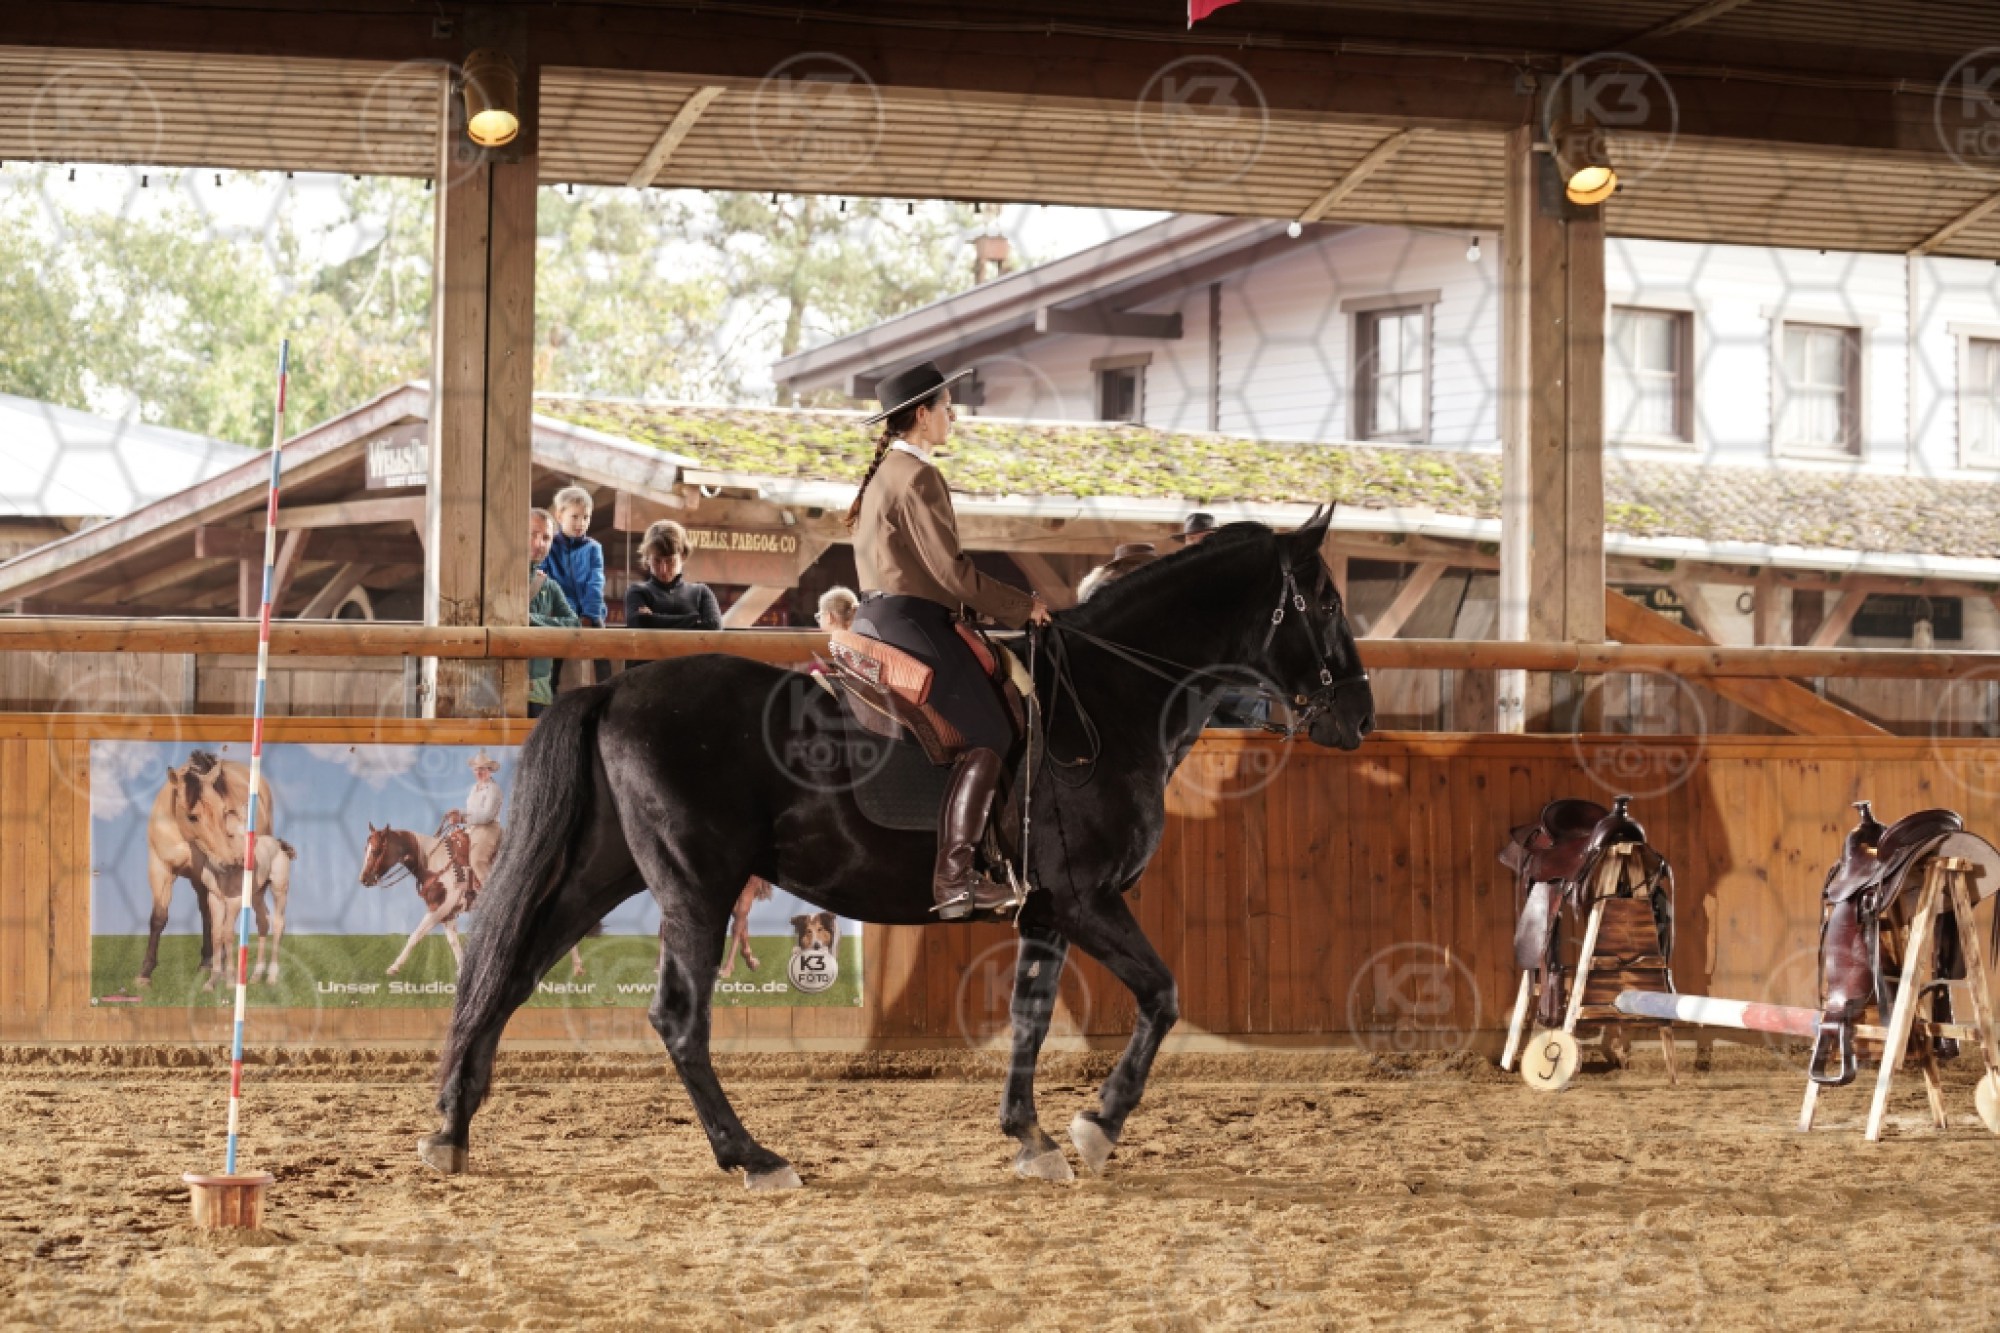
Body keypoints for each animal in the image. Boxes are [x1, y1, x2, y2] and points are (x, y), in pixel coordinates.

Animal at [360, 824, 587, 980]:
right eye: (366, 849)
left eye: (377, 850)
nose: (364, 879)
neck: (435, 863)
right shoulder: (448, 913)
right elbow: (453, 942)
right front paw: (462, 972)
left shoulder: (438, 908)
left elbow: (415, 936)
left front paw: (393, 968)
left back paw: (576, 968)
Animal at [421, 512, 1372, 1187]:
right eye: (1325, 603)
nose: (1360, 713)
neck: (1107, 697)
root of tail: (619, 689)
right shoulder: (1089, 897)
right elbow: (1163, 994)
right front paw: (1096, 1127)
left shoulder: (1045, 908)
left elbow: (1031, 1016)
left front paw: (1030, 1136)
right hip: (696, 885)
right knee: (677, 1018)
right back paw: (754, 1157)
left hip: (603, 868)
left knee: (508, 972)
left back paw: (450, 1130)